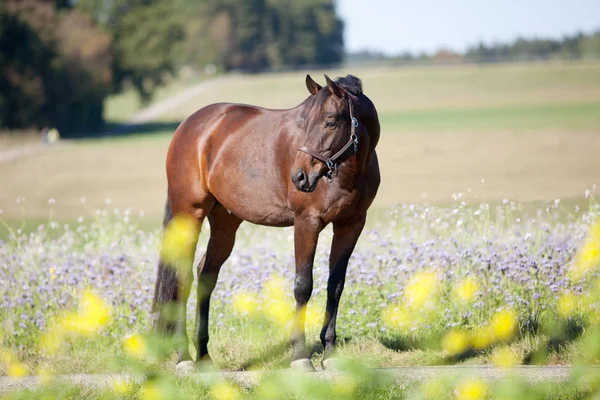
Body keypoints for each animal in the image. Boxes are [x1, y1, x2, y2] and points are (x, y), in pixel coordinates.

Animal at [152, 72, 382, 372]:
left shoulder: (351, 225)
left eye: (330, 121)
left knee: (206, 275)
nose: (299, 176)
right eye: (303, 122)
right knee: (183, 278)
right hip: (189, 215)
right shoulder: (307, 222)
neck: (347, 173)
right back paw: (184, 358)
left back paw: (203, 356)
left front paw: (330, 354)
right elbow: (303, 286)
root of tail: (189, 126)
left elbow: (336, 286)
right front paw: (300, 356)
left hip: (225, 224)